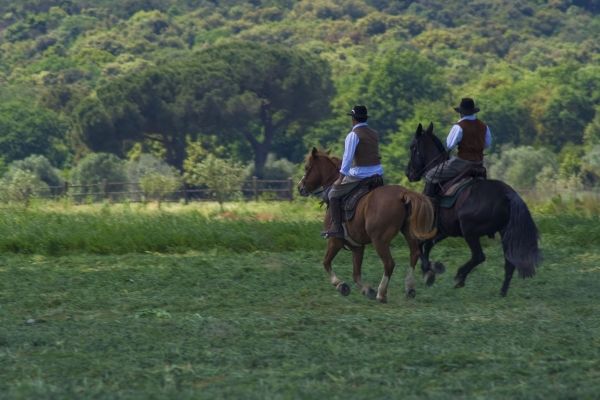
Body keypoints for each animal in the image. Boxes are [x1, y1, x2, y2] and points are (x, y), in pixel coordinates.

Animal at [296, 148, 434, 302]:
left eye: (307, 167)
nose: (300, 187)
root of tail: (403, 193)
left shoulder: (335, 241)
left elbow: (326, 263)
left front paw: (341, 285)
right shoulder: (357, 247)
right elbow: (356, 274)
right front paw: (367, 290)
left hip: (379, 240)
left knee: (389, 263)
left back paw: (381, 293)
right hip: (407, 233)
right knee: (414, 254)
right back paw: (409, 288)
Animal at [406, 123, 540, 296]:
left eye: (412, 147)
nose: (408, 173)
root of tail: (507, 194)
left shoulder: (434, 228)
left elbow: (420, 244)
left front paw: (430, 270)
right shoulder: (443, 230)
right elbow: (427, 245)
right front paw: (429, 271)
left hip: (470, 231)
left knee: (479, 256)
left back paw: (460, 277)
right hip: (503, 233)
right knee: (508, 263)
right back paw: (502, 292)